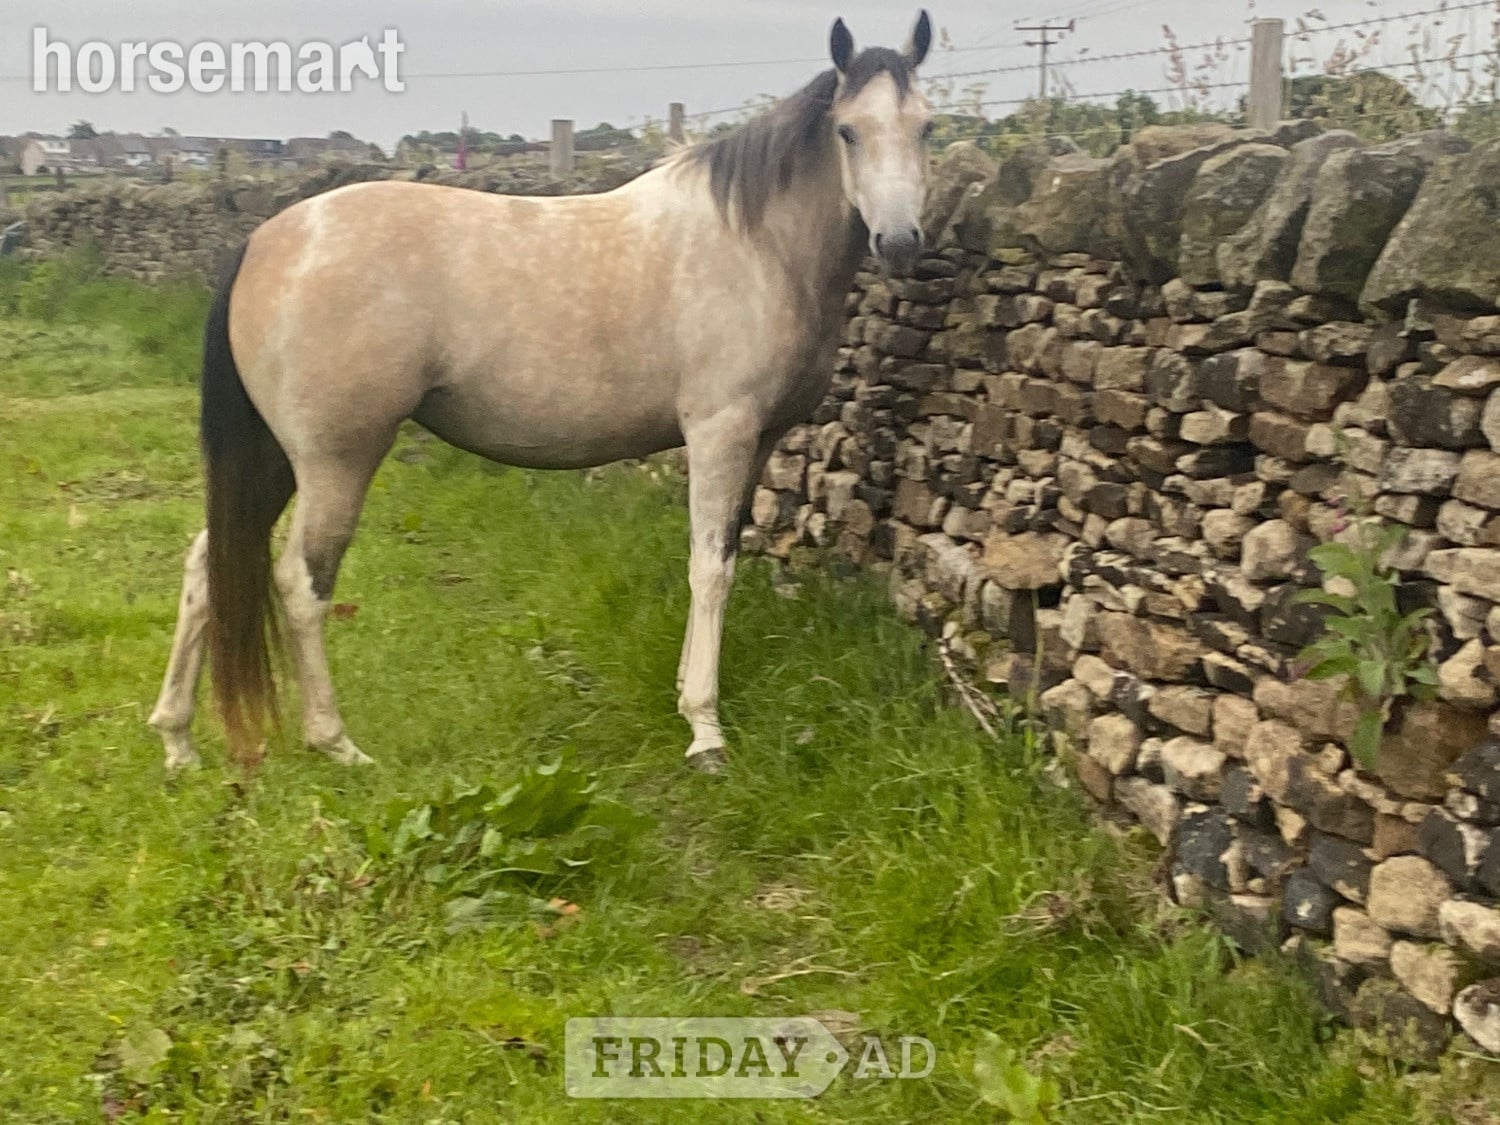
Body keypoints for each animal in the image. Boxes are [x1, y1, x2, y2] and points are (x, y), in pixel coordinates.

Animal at [148, 12, 935, 775]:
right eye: (847, 130)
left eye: (926, 127)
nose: (899, 242)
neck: (753, 243)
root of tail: (265, 241)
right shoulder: (722, 432)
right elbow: (709, 570)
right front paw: (705, 730)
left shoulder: (761, 441)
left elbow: (722, 560)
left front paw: (686, 695)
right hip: (334, 461)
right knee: (301, 582)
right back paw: (335, 742)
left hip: (276, 458)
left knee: (208, 561)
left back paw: (178, 740)